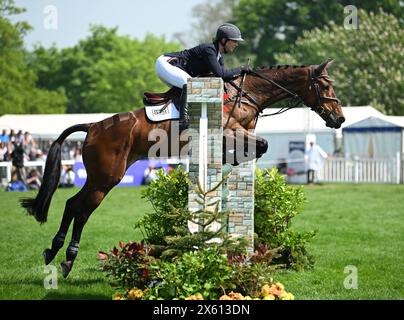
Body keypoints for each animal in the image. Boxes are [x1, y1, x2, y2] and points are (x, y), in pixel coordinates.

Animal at [20, 58, 346, 278]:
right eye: (325, 85)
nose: (339, 118)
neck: (246, 94)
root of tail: (93, 126)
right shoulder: (228, 132)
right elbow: (262, 145)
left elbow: (259, 147)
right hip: (106, 177)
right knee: (80, 209)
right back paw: (64, 256)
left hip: (104, 176)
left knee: (73, 205)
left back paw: (56, 253)